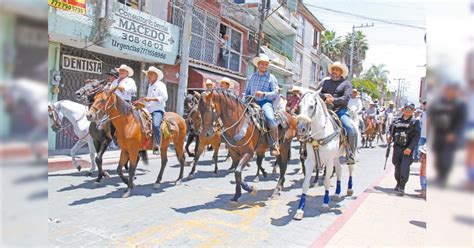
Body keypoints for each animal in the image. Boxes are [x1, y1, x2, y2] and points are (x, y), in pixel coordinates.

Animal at [292, 91, 356, 221]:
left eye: (312, 106)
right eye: (299, 106)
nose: (301, 129)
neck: (320, 134)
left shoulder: (328, 161)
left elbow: (326, 181)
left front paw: (325, 204)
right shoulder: (310, 161)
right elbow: (305, 184)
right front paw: (300, 210)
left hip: (349, 153)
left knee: (350, 169)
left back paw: (349, 189)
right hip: (336, 157)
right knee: (339, 171)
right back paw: (336, 193)